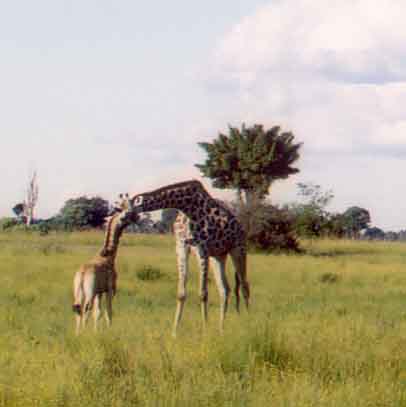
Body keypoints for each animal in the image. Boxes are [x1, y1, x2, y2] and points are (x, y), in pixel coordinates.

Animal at [72, 194, 137, 334]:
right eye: (125, 214)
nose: (136, 217)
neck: (108, 257)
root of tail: (82, 274)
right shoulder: (109, 289)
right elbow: (108, 312)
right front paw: (108, 331)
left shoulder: (99, 292)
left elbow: (98, 313)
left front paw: (96, 332)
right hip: (89, 293)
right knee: (86, 308)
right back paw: (83, 333)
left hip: (78, 291)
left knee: (78, 309)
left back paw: (78, 334)